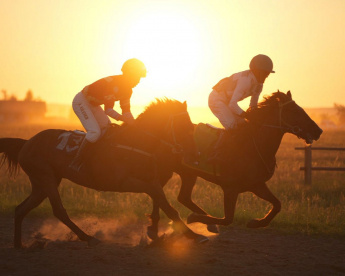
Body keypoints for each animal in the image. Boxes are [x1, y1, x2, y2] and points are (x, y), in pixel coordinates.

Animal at [0, 98, 208, 248]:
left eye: (191, 125)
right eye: (183, 126)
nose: (195, 154)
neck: (137, 143)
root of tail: (26, 142)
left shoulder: (153, 178)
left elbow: (162, 203)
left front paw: (157, 232)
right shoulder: (128, 182)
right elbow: (169, 208)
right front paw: (195, 235)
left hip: (42, 183)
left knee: (21, 209)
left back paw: (19, 244)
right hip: (46, 178)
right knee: (59, 211)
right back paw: (89, 238)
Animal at [146, 89, 322, 238]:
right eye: (294, 111)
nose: (318, 131)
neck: (251, 146)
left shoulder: (256, 185)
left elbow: (278, 204)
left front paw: (256, 222)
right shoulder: (230, 187)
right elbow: (228, 219)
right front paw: (194, 218)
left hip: (188, 173)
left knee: (181, 197)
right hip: (164, 170)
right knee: (157, 192)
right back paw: (155, 228)